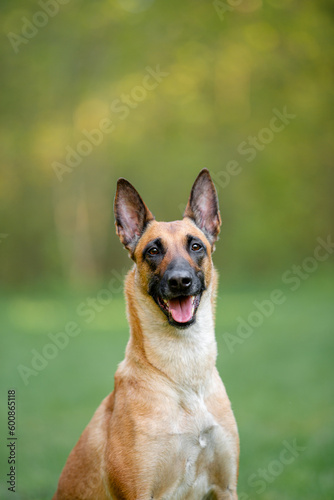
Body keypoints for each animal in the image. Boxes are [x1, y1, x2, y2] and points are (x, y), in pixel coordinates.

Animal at [53, 170, 239, 498]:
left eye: (196, 246)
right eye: (153, 250)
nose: (180, 281)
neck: (185, 376)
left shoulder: (227, 487)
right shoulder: (138, 492)